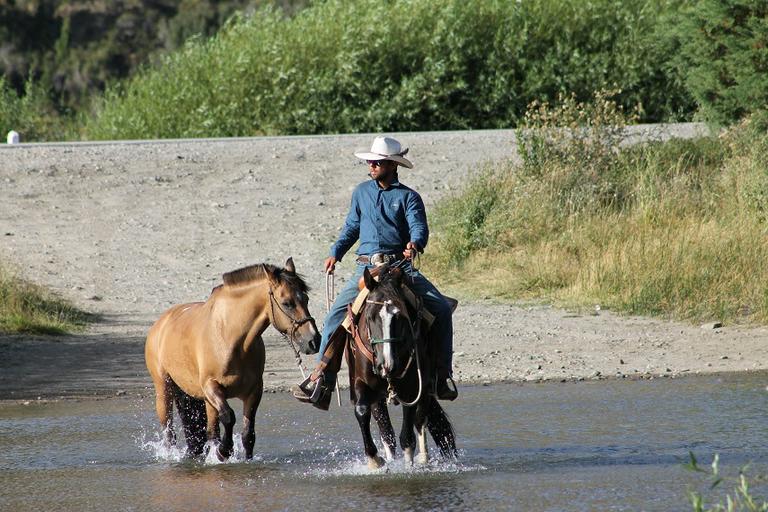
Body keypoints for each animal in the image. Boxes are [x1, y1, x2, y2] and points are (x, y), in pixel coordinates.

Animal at [144, 260, 318, 460]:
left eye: (306, 299)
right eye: (287, 303)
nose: (314, 340)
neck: (231, 337)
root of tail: (160, 324)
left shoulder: (254, 391)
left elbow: (248, 434)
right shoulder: (211, 387)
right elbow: (228, 416)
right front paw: (224, 450)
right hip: (165, 391)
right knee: (170, 433)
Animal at [346, 264, 456, 468]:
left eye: (400, 317)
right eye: (370, 317)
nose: (387, 365)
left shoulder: (413, 388)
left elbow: (408, 434)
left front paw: (409, 463)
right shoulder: (363, 384)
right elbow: (362, 411)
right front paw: (374, 460)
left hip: (426, 386)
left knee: (420, 419)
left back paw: (423, 458)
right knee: (386, 429)